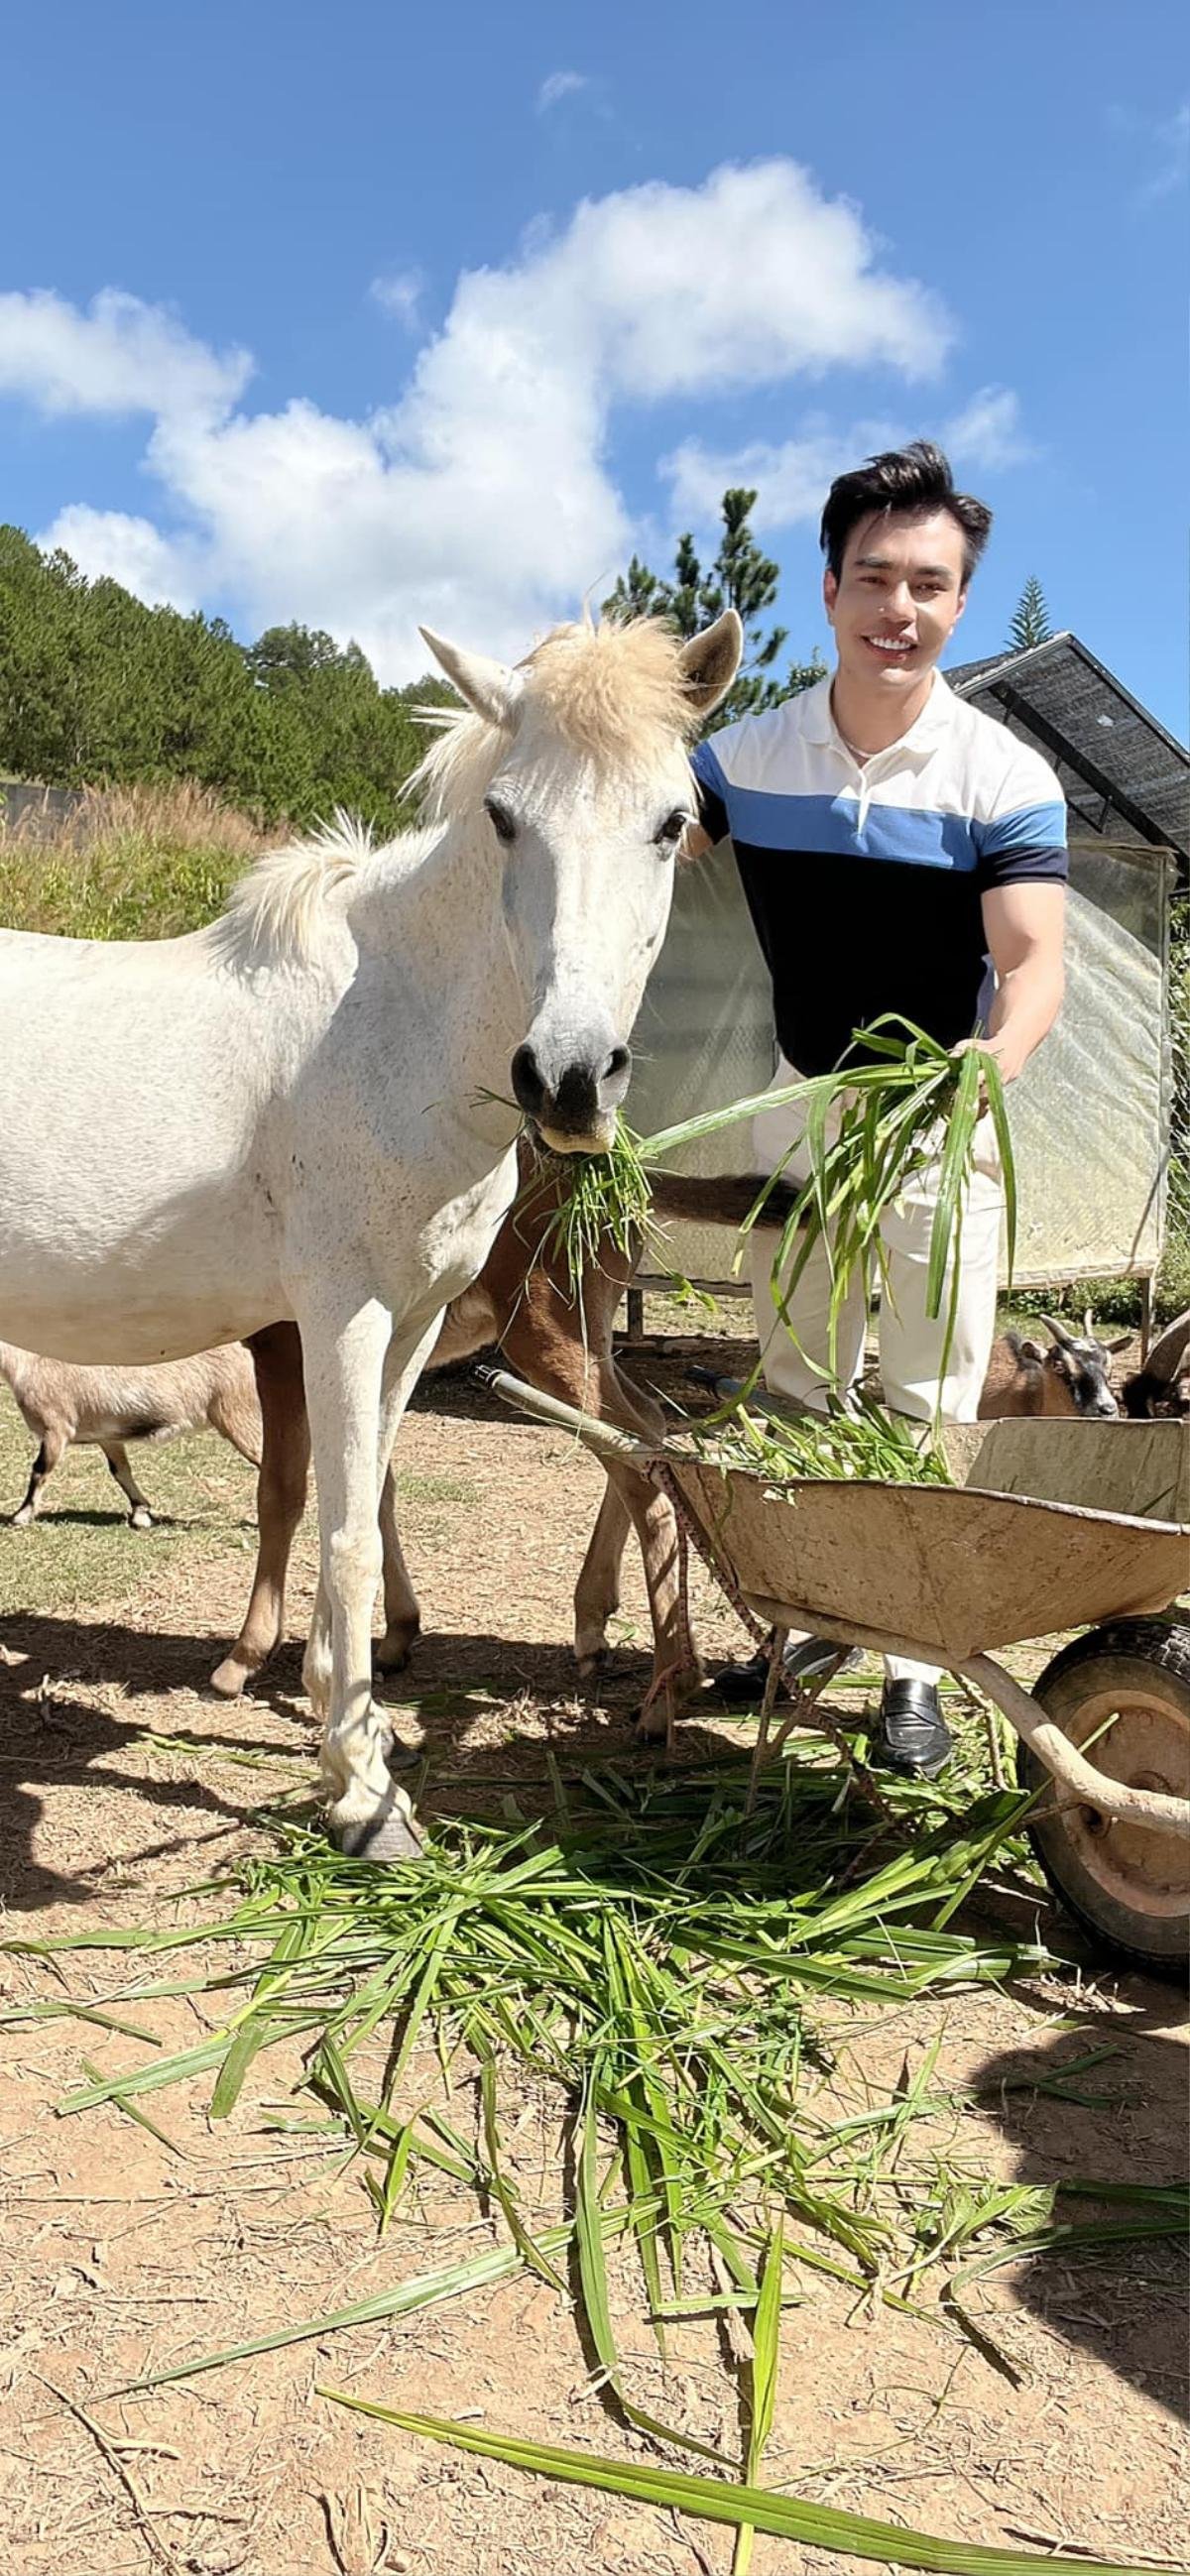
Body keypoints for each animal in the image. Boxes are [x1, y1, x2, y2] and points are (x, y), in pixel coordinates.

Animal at [0, 1339, 262, 1514]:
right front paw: (141, 1513)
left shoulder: (56, 1427)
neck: (29, 1363)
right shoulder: (108, 1436)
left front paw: (20, 1516)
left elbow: (40, 1469)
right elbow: (120, 1471)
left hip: (237, 1412)